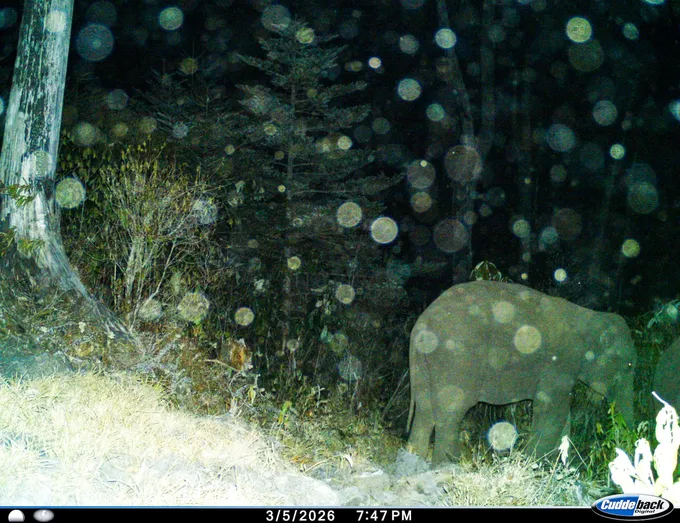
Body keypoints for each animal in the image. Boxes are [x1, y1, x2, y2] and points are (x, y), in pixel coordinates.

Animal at [406, 280, 637, 464]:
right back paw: (447, 466)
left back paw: (414, 458)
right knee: (451, 410)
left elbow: (563, 414)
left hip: (423, 365)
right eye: (629, 366)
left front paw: (557, 464)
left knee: (425, 409)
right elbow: (553, 410)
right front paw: (531, 463)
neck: (591, 315)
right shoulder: (561, 362)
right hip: (456, 360)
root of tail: (422, 321)